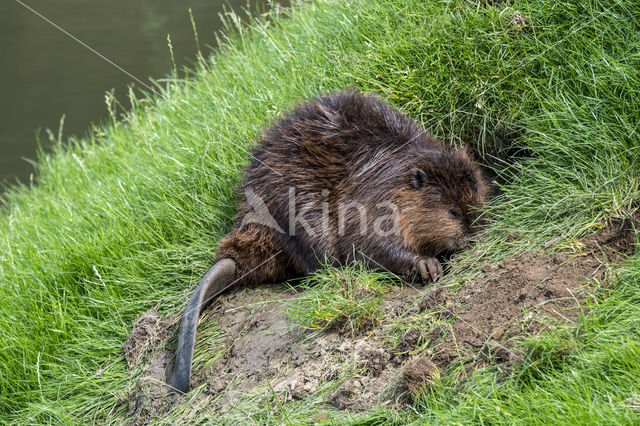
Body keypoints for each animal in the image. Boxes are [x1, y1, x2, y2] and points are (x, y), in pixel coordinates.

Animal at [168, 89, 488, 392]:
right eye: (452, 212)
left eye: (479, 198)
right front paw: (427, 266)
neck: (394, 171)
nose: (473, 234)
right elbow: (366, 244)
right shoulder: (372, 204)